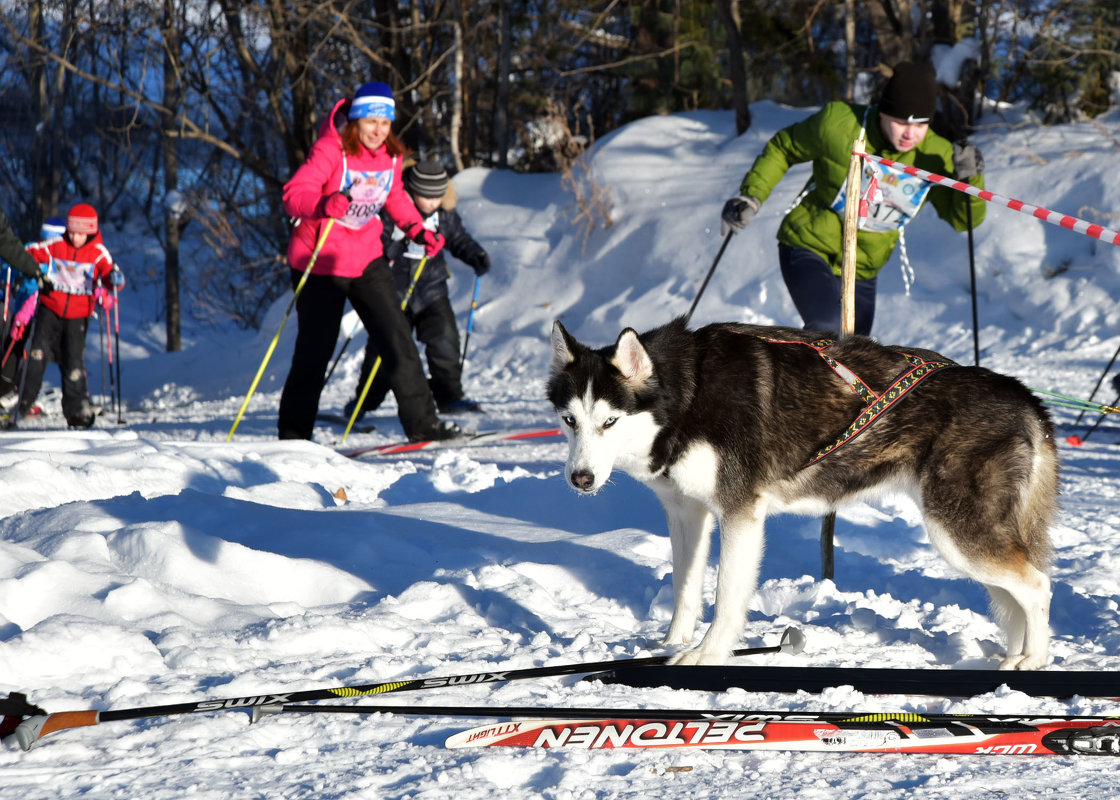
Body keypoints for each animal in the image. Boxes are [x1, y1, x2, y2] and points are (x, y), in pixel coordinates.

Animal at [551, 315, 1057, 667]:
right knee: (1015, 595)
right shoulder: (687, 513)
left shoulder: (740, 513)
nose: (580, 479)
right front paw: (672, 642)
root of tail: (1027, 399)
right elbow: (685, 588)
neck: (689, 396)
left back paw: (1033, 658)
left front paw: (707, 653)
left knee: (1037, 586)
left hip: (956, 532)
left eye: (609, 421)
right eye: (569, 420)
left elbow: (726, 597)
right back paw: (1018, 654)